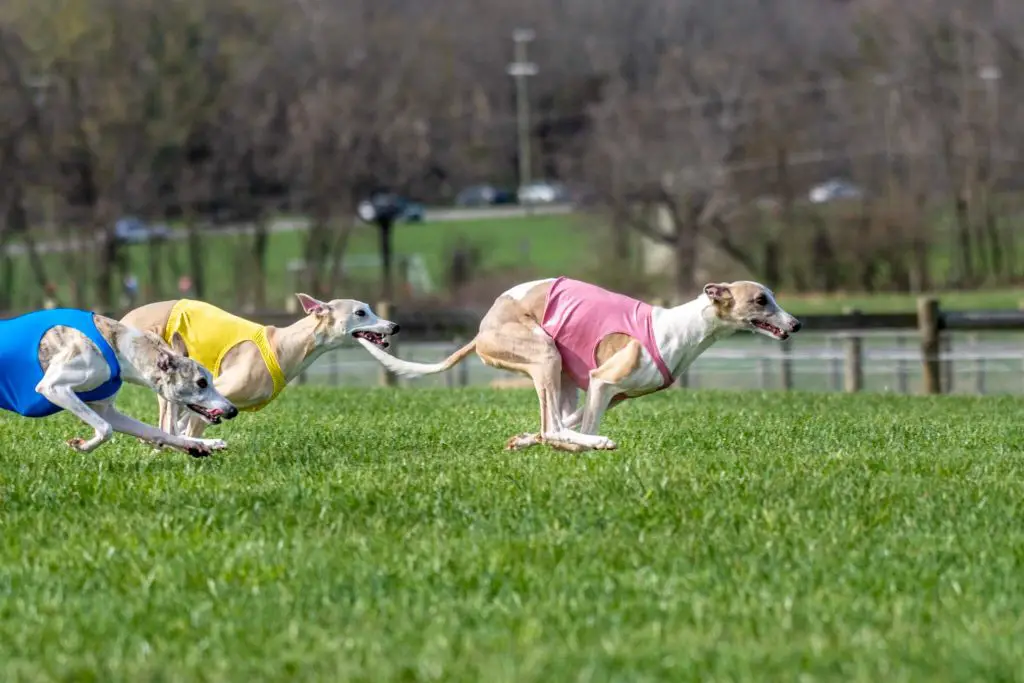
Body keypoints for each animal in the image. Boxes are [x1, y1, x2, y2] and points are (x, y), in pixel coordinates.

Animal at [0, 309, 237, 456]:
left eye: (211, 380)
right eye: (201, 383)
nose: (233, 410)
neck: (120, 348)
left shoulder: (105, 409)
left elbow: (156, 432)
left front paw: (198, 446)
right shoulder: (53, 387)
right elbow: (106, 429)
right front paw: (82, 446)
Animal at [117, 294, 395, 438]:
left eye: (369, 309)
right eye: (361, 313)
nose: (394, 326)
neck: (282, 344)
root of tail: (126, 316)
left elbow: (186, 423)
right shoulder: (213, 396)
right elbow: (193, 425)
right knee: (168, 420)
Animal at [356, 274, 802, 450]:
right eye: (761, 300)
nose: (796, 324)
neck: (683, 327)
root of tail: (482, 330)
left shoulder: (610, 393)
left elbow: (565, 424)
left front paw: (524, 440)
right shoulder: (603, 381)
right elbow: (575, 426)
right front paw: (589, 444)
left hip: (562, 374)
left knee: (553, 422)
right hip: (544, 354)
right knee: (552, 425)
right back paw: (591, 444)